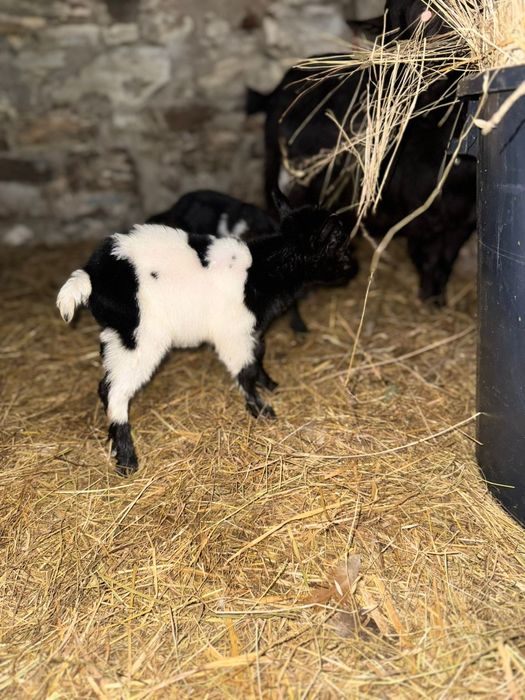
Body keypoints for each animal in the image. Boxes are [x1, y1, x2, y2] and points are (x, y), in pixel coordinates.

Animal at [57, 191, 358, 475]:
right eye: (336, 241)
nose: (352, 268)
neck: (261, 271)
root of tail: (91, 275)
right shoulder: (233, 333)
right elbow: (245, 369)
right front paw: (261, 410)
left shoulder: (251, 329)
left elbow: (259, 354)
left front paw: (269, 384)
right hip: (139, 336)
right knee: (116, 391)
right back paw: (127, 461)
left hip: (117, 334)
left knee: (105, 385)